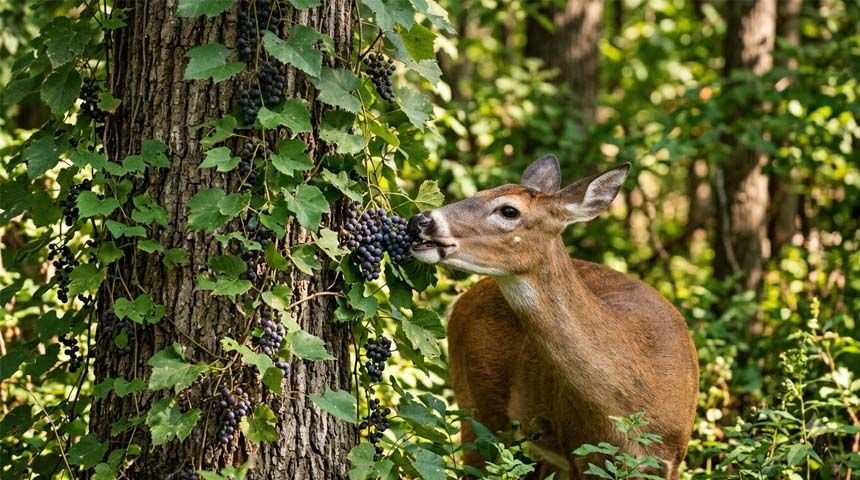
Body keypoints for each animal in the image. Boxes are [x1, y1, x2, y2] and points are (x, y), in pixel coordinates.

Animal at [408, 156, 699, 480]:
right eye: (478, 192)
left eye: (509, 210)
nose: (420, 220)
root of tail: (459, 301)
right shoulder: (577, 452)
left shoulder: (672, 458)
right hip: (475, 404)